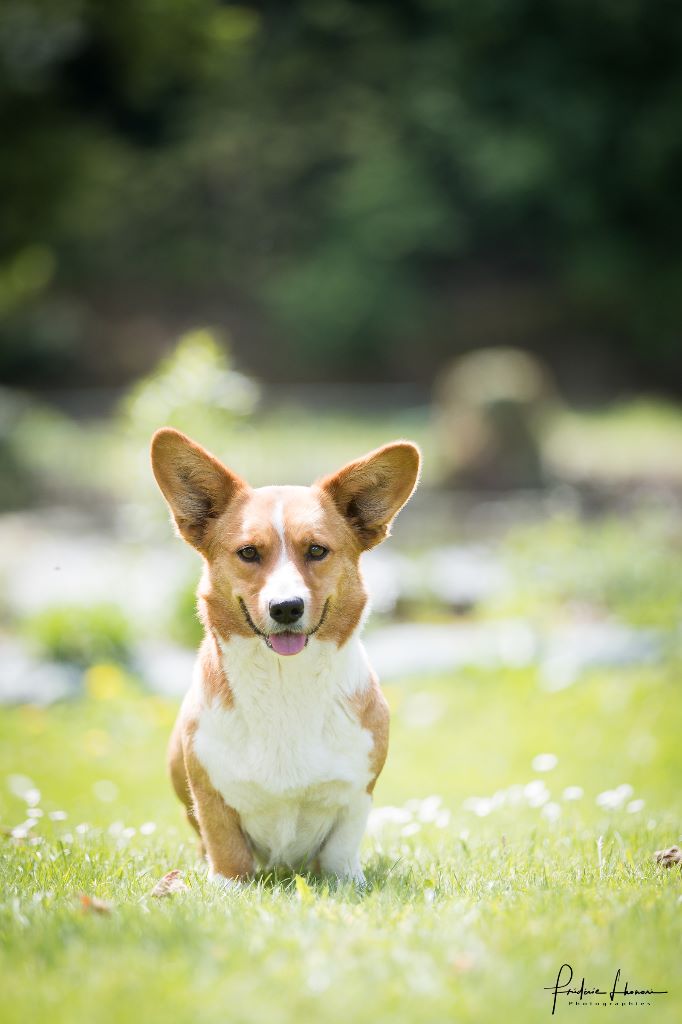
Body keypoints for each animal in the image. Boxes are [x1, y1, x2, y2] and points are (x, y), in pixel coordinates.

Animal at [151, 428, 419, 884]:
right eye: (248, 553)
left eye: (316, 550)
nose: (287, 608)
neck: (284, 679)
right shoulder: (210, 795)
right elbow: (227, 852)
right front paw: (227, 887)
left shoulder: (357, 793)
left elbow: (340, 852)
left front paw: (348, 884)